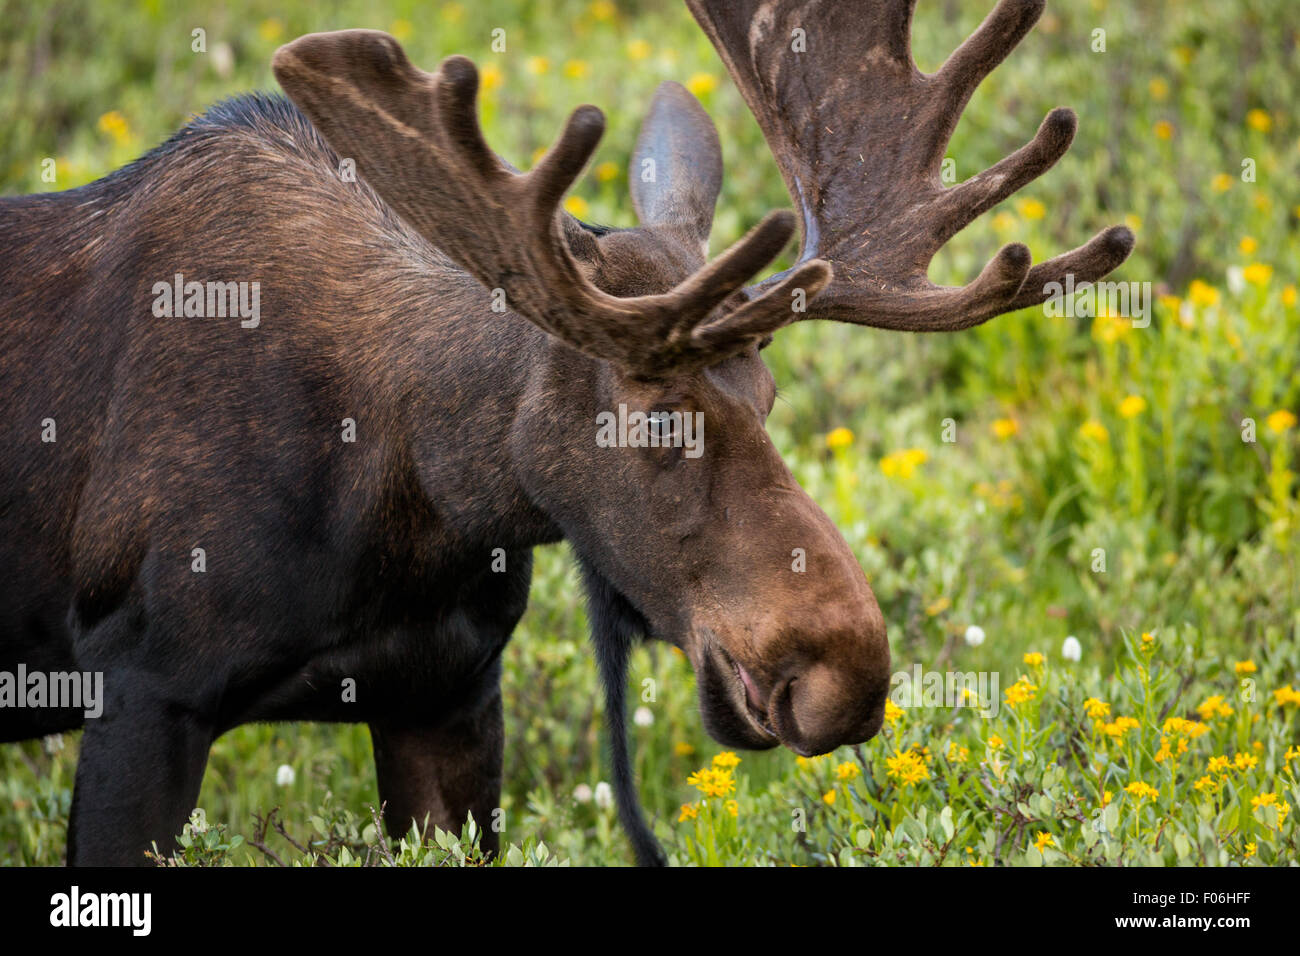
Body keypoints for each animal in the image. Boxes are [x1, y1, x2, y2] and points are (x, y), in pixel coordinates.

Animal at [0, 0, 1132, 866]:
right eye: (659, 415)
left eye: (769, 396)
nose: (845, 672)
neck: (409, 506)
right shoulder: (145, 691)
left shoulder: (448, 694)